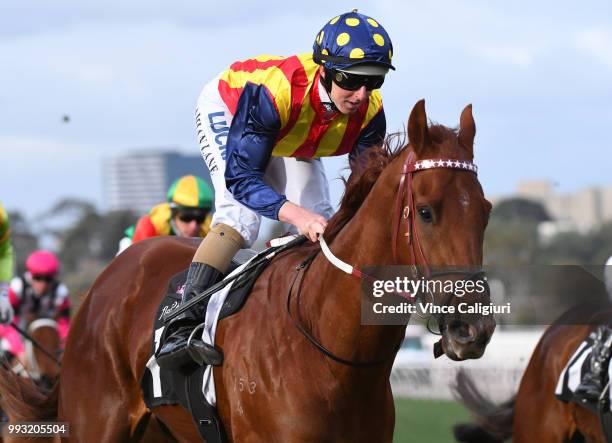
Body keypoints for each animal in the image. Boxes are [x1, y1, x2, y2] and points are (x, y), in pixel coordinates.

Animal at [0, 100, 492, 443]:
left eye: (485, 211)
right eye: (425, 212)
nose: (472, 328)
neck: (329, 347)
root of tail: (107, 280)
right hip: (95, 423)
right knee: (236, 215)